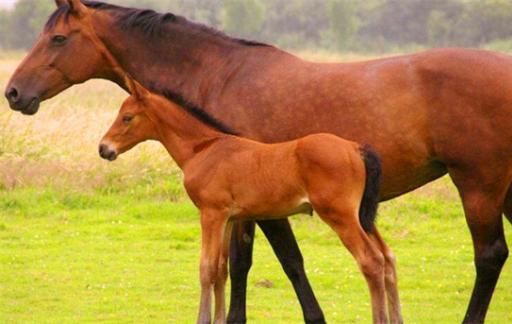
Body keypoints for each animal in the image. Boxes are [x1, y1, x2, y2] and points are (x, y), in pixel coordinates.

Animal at [97, 79, 400, 324]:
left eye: (127, 117)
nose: (104, 148)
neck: (204, 149)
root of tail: (355, 148)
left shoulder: (211, 214)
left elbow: (206, 268)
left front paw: (203, 319)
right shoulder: (229, 218)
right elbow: (221, 269)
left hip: (340, 215)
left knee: (371, 261)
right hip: (362, 216)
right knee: (387, 258)